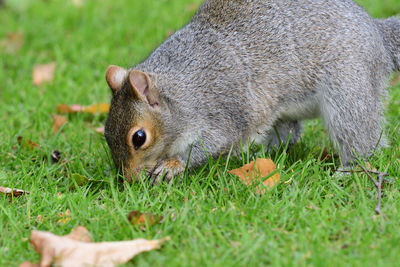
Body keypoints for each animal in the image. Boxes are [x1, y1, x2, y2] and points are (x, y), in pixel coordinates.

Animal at [104, 0, 400, 184]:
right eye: (106, 134)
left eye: (139, 138)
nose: (128, 180)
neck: (182, 90)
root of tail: (376, 32)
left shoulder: (223, 109)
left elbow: (212, 143)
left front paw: (172, 165)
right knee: (289, 133)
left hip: (348, 86)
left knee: (359, 135)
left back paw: (349, 171)